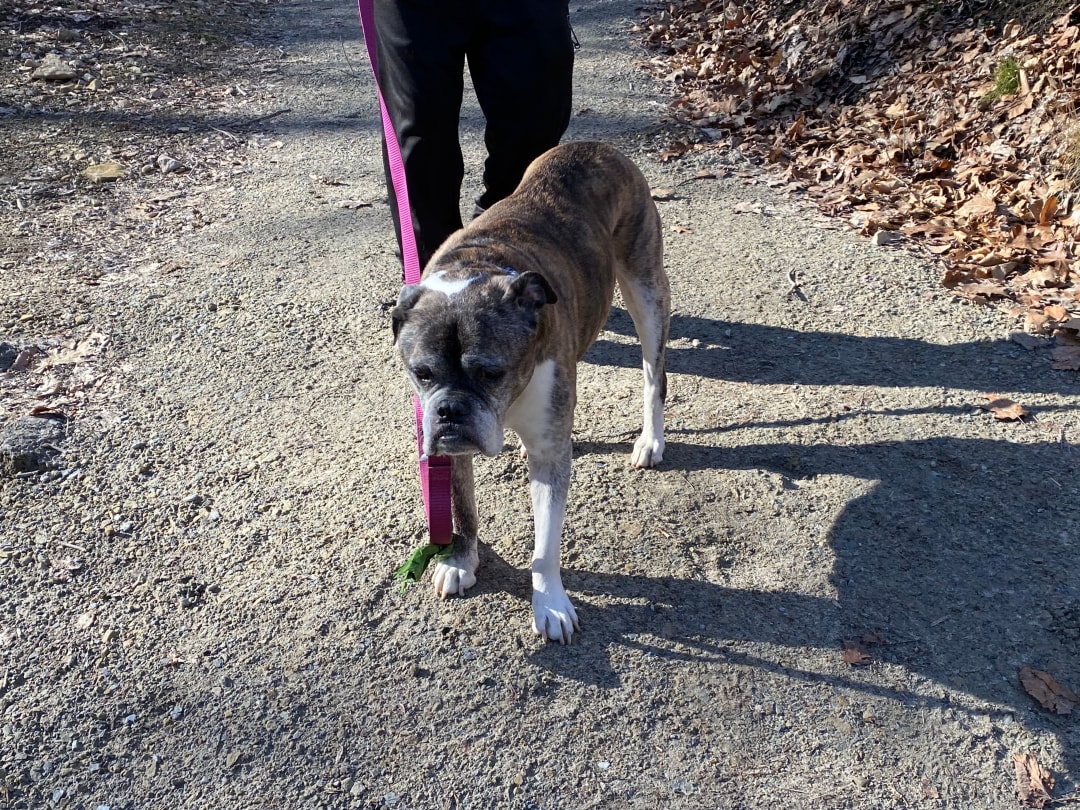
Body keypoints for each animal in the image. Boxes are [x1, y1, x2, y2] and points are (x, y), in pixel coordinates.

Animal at [393, 142, 669, 643]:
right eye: (421, 374)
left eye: (491, 373)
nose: (449, 411)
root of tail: (598, 148)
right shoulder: (454, 453)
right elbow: (462, 507)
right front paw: (461, 560)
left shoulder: (547, 455)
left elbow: (546, 543)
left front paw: (551, 603)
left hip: (648, 292)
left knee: (653, 376)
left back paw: (651, 440)